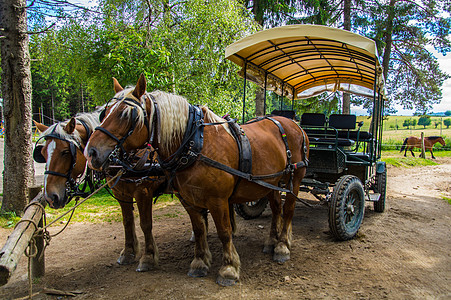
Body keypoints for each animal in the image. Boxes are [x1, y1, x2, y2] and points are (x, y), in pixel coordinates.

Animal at [33, 108, 164, 272]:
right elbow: (127, 221)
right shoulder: (120, 193)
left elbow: (146, 224)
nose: (51, 196)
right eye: (42, 153)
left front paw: (148, 257)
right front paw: (129, 252)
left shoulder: (143, 192)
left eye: (65, 152)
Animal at [85, 75, 310, 286]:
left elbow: (224, 232)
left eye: (125, 114)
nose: (91, 152)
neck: (194, 144)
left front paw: (229, 268)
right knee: (276, 209)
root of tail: (292, 124)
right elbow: (199, 228)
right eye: (104, 113)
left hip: (295, 179)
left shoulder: (216, 200)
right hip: (271, 183)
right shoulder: (188, 199)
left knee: (288, 210)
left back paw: (282, 246)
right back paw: (272, 241)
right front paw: (200, 262)